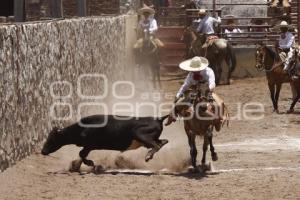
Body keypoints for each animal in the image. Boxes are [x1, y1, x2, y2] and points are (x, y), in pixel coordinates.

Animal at [41, 115, 170, 171]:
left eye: (52, 138)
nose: (42, 151)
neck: (82, 128)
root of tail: (158, 118)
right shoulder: (88, 146)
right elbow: (81, 155)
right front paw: (75, 166)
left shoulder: (89, 145)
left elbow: (82, 154)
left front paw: (91, 164)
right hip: (147, 140)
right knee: (163, 141)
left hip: (141, 136)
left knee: (157, 145)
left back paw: (148, 156)